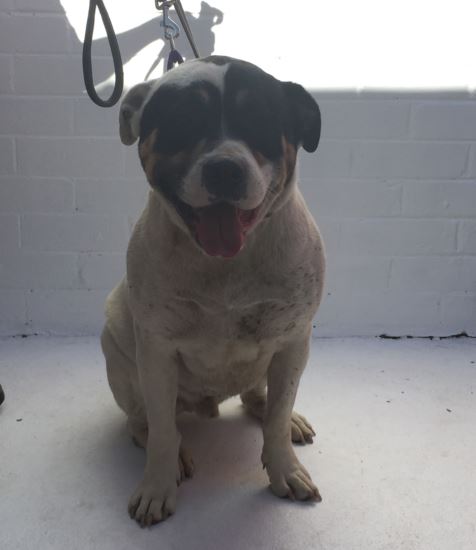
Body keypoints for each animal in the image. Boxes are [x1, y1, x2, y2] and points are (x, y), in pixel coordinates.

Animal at [101, 55, 325, 527]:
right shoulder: (157, 351)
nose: (225, 169)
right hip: (116, 347)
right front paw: (157, 485)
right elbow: (162, 431)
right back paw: (164, 447)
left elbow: (276, 417)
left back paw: (283, 416)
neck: (225, 265)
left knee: (262, 398)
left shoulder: (294, 341)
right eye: (184, 120)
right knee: (143, 420)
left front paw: (284, 467)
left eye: (260, 122)